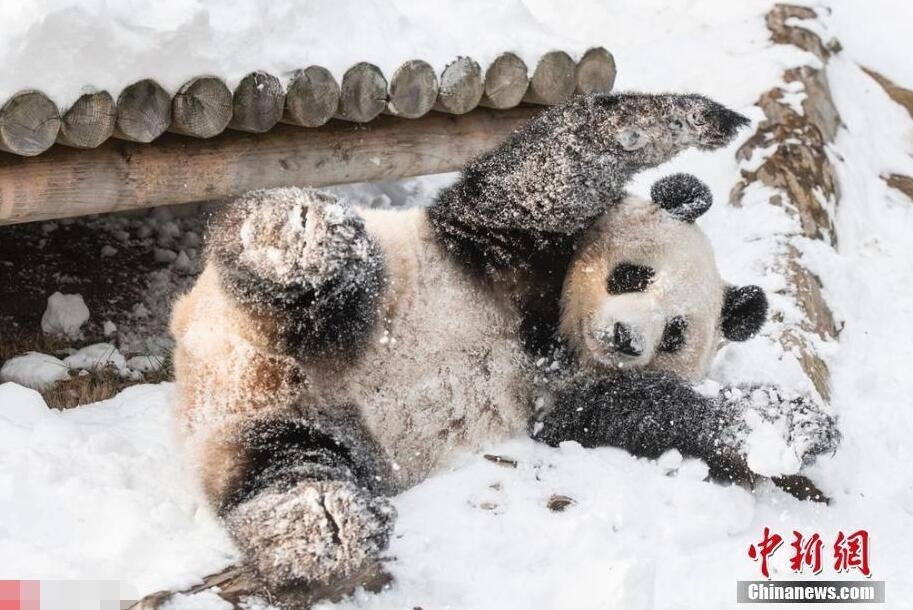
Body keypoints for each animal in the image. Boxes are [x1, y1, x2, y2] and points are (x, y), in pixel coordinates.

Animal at [170, 92, 839, 605]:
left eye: (675, 333)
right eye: (631, 275)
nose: (625, 338)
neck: (549, 335)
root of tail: (227, 373)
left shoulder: (565, 400)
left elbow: (643, 412)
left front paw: (791, 429)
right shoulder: (496, 251)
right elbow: (545, 174)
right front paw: (705, 118)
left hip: (297, 433)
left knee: (283, 468)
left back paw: (325, 523)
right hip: (325, 296)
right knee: (319, 273)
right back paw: (300, 240)